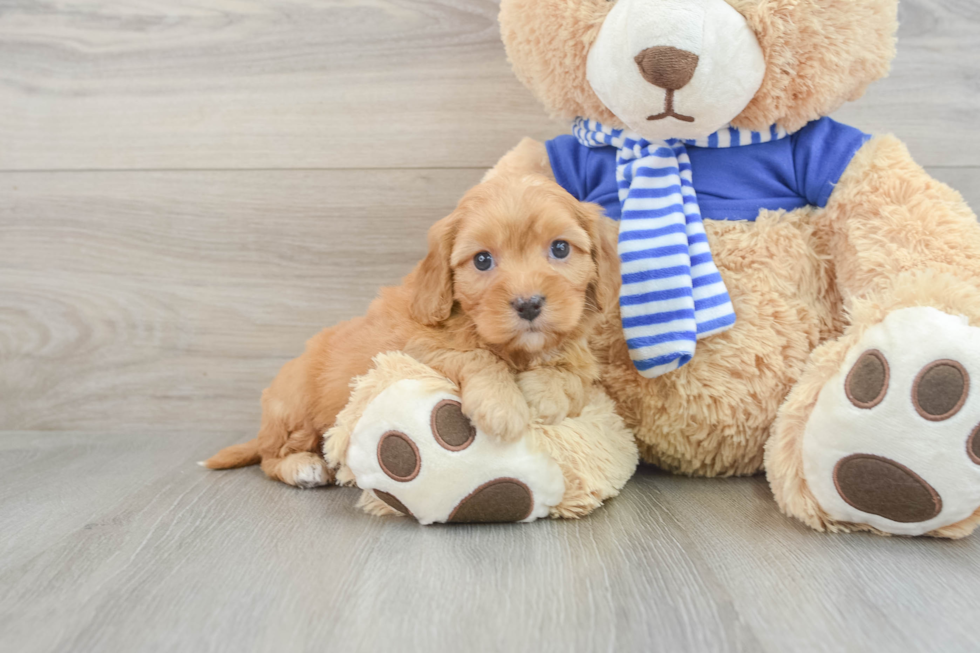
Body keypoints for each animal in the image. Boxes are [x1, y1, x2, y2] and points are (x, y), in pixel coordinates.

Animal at [205, 171, 620, 486]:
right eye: (482, 260)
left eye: (560, 249)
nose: (529, 304)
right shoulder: (415, 349)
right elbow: (475, 356)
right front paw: (503, 405)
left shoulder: (580, 353)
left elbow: (574, 373)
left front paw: (544, 393)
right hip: (296, 408)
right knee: (270, 457)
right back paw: (302, 467)